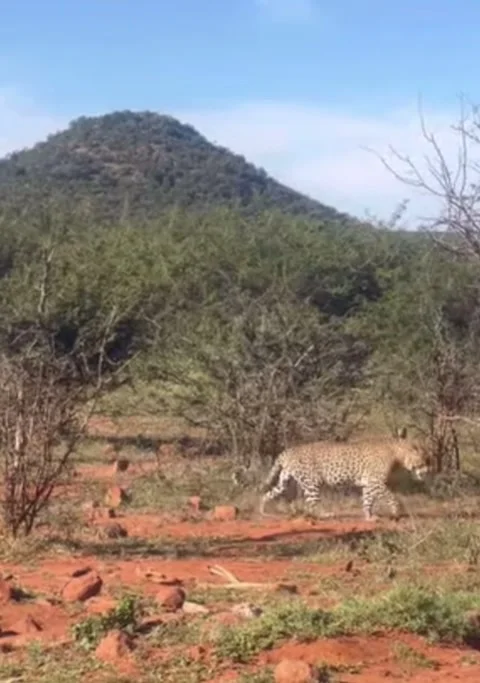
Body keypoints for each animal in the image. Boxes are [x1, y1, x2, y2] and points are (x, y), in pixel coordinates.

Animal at [259, 430, 431, 521]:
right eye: (424, 461)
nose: (428, 471)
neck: (397, 454)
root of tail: (290, 450)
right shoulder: (376, 482)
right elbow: (391, 496)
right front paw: (397, 510)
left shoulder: (369, 484)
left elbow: (368, 500)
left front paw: (369, 517)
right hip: (312, 482)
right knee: (312, 503)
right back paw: (325, 514)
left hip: (284, 481)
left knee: (269, 493)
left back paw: (262, 510)